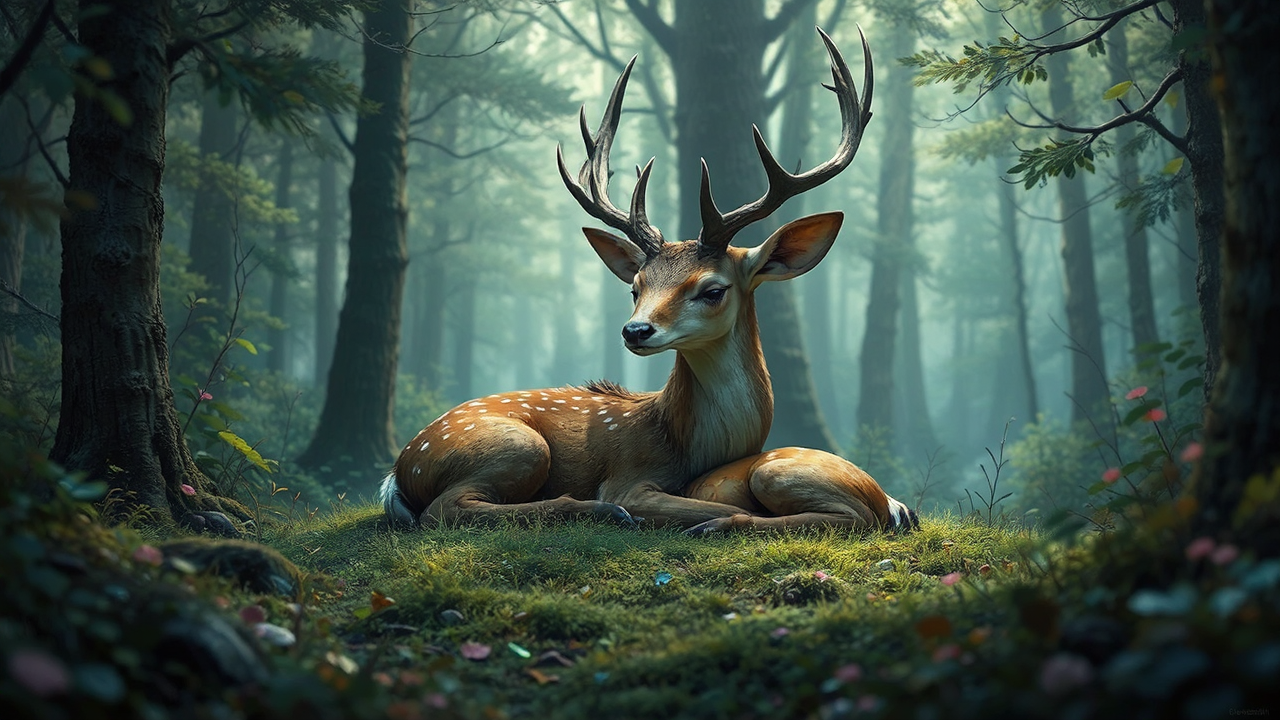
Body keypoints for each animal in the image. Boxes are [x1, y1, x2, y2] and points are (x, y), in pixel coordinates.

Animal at [379, 27, 918, 535]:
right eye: (635, 287)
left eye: (713, 289)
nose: (635, 330)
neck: (678, 439)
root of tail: (401, 466)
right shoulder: (629, 476)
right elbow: (699, 502)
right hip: (517, 445)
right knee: (446, 508)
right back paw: (604, 511)